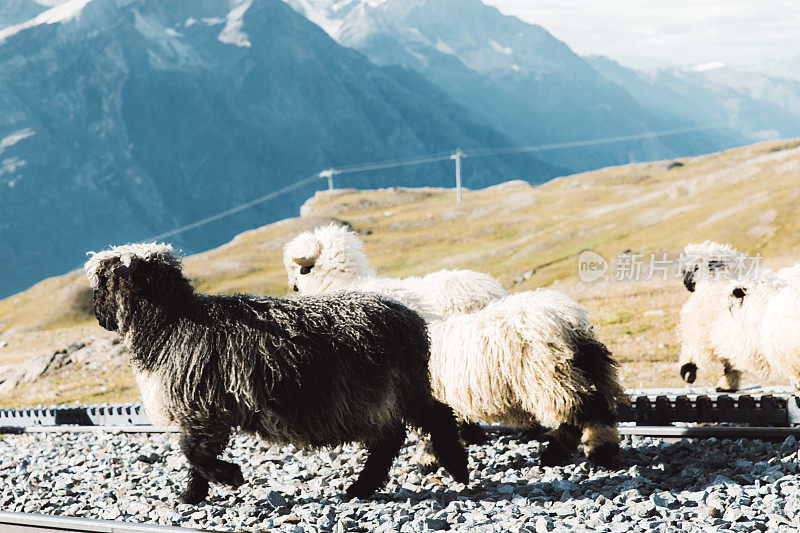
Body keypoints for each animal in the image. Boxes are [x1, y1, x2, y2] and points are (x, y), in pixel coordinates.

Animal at [282, 224, 624, 466]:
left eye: (299, 269)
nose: (293, 288)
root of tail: (569, 319)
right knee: (600, 409)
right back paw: (601, 452)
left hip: (548, 378)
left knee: (577, 412)